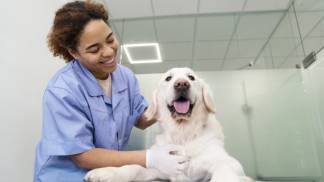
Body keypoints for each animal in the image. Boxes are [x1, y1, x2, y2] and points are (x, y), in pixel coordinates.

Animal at [84, 67, 251, 181]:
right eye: (168, 78)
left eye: (191, 77)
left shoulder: (227, 162)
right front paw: (107, 172)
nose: (182, 84)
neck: (183, 133)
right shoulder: (162, 168)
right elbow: (135, 167)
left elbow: (224, 169)